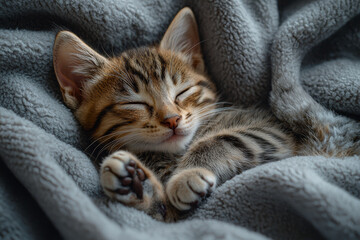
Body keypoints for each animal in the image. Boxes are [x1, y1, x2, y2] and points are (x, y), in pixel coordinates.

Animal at [52, 7, 360, 221]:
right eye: (135, 103)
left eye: (182, 92)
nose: (173, 119)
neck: (170, 155)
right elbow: (161, 213)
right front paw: (133, 182)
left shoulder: (273, 129)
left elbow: (221, 139)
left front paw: (185, 175)